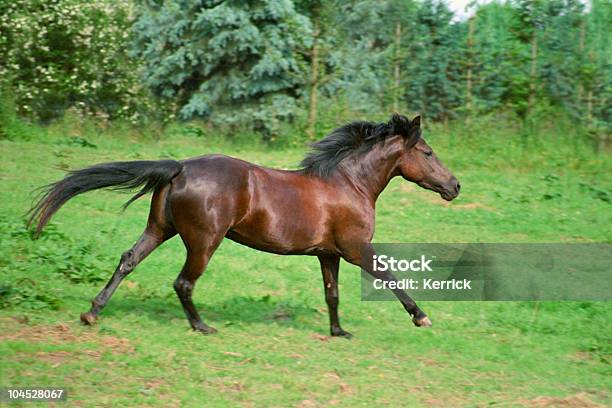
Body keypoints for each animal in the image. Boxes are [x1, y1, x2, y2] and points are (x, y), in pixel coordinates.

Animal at [28, 113, 460, 336]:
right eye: (428, 152)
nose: (455, 186)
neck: (349, 183)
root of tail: (180, 167)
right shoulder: (356, 248)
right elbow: (389, 277)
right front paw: (421, 316)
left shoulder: (328, 254)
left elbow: (332, 295)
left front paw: (338, 332)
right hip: (204, 241)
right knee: (183, 283)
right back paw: (202, 326)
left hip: (159, 229)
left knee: (128, 259)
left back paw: (92, 313)